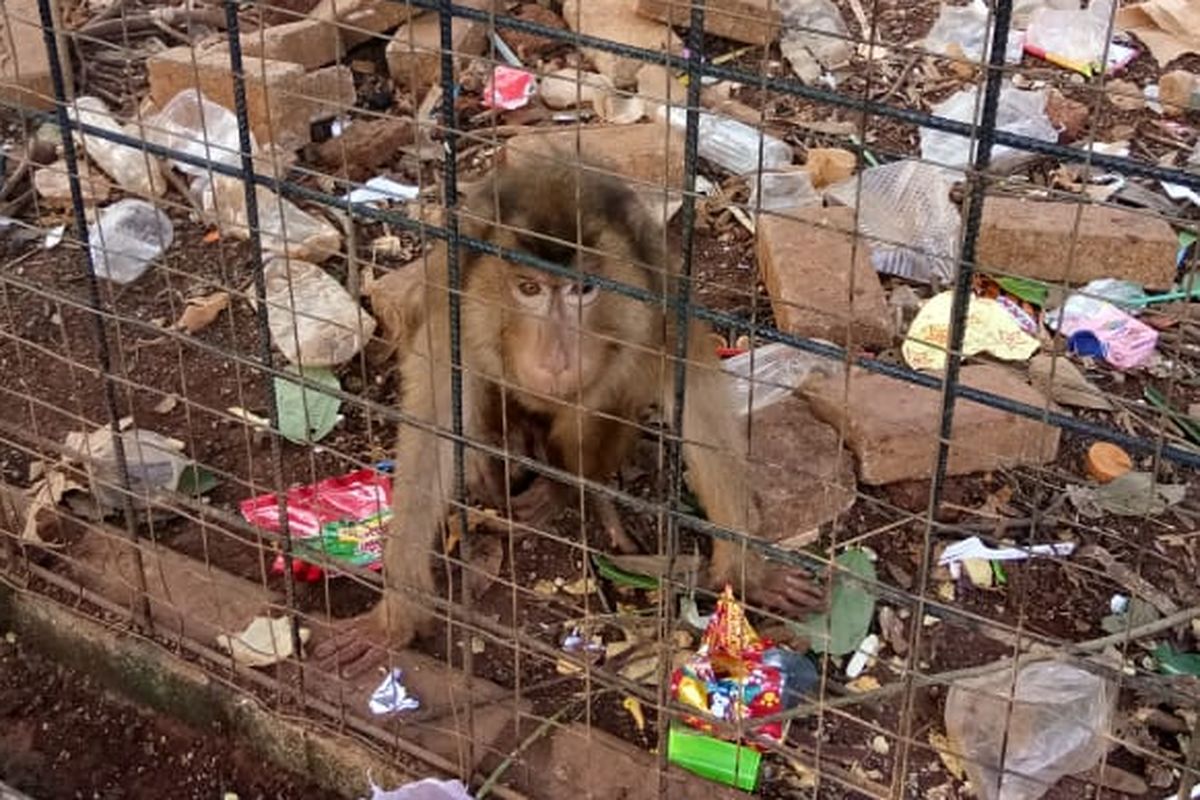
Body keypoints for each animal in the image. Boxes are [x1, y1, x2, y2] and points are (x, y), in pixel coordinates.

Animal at [314, 158, 825, 676]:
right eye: (529, 289)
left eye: (583, 290)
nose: (557, 357)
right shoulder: (452, 322)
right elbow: (429, 436)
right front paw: (396, 617)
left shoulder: (659, 319)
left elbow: (699, 411)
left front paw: (749, 573)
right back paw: (501, 457)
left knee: (604, 404)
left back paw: (561, 486)